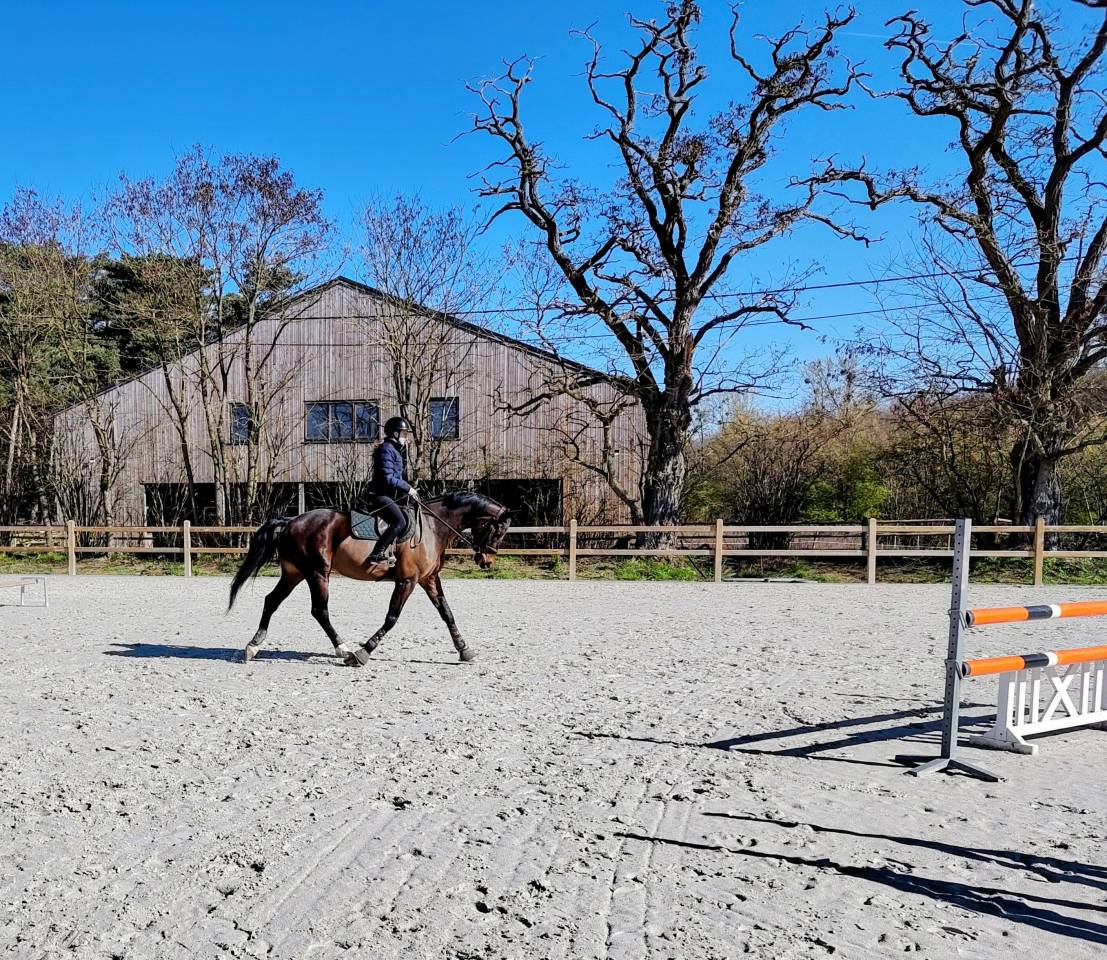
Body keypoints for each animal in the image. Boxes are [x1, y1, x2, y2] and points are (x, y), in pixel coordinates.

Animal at [226, 491, 513, 665]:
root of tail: (291, 520)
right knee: (319, 610)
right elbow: (392, 617)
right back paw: (343, 649)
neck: (433, 527)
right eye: (498, 531)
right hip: (317, 573)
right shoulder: (407, 580)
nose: (487, 561)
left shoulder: (429, 579)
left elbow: (447, 613)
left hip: (294, 573)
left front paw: (464, 649)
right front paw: (364, 652)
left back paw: (253, 646)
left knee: (271, 601)